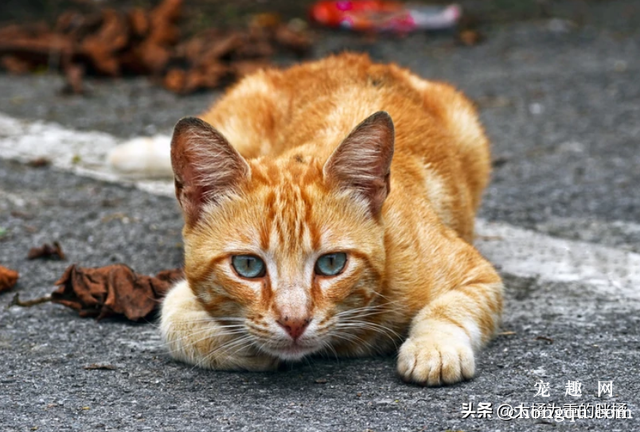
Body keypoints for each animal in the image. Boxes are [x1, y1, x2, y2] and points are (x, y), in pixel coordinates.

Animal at [159, 52, 500, 386]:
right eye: (247, 266)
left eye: (332, 263)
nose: (294, 322)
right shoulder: (184, 293)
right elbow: (173, 320)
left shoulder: (479, 275)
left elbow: (450, 309)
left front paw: (435, 348)